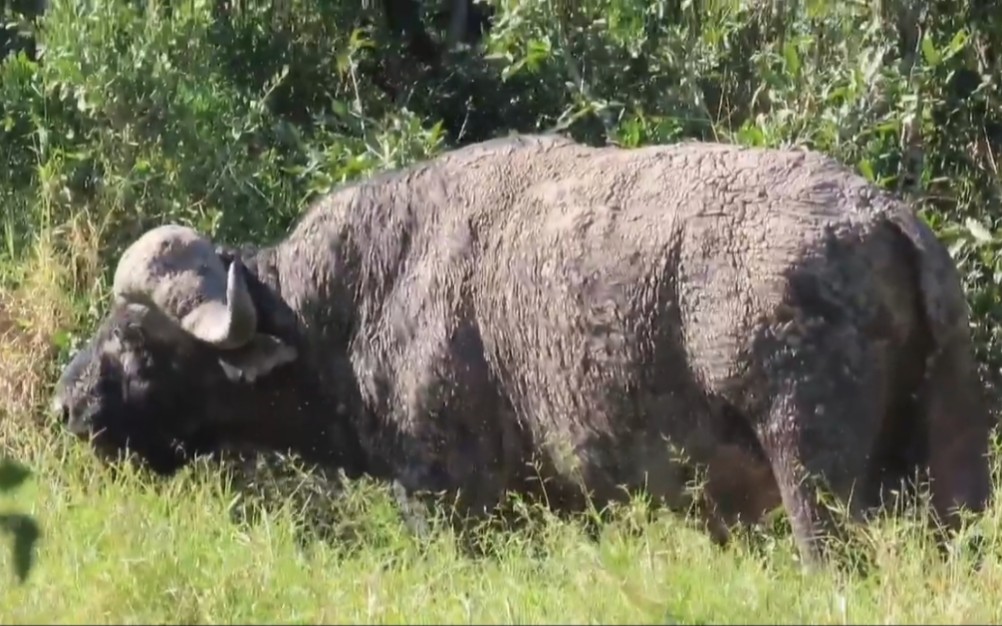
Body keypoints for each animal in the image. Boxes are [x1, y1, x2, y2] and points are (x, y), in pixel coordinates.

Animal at [52, 134, 993, 564]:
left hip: (815, 475)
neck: (351, 306)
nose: (68, 403)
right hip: (953, 467)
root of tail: (886, 218)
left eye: (136, 340)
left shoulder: (448, 497)